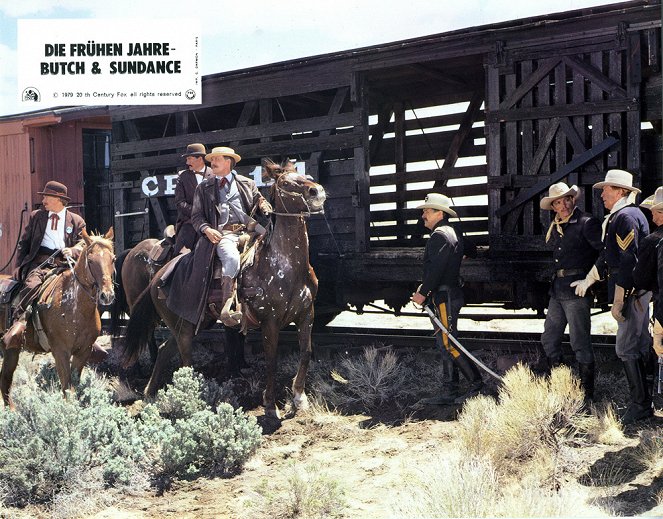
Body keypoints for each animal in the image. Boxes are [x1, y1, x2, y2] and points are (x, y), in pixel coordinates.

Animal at [0, 231, 115, 406]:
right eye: (90, 260)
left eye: (113, 259)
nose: (107, 295)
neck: (75, 308)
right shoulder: (60, 352)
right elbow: (67, 389)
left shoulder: (83, 352)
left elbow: (73, 386)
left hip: (11, 349)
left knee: (5, 379)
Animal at [124, 162, 326, 418]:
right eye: (286, 183)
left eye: (303, 175)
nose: (317, 192)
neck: (286, 266)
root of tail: (158, 277)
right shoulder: (269, 321)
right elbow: (271, 360)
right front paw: (270, 405)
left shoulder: (306, 314)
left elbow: (306, 353)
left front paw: (299, 397)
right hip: (185, 329)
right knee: (185, 359)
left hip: (192, 323)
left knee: (164, 350)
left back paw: (150, 393)